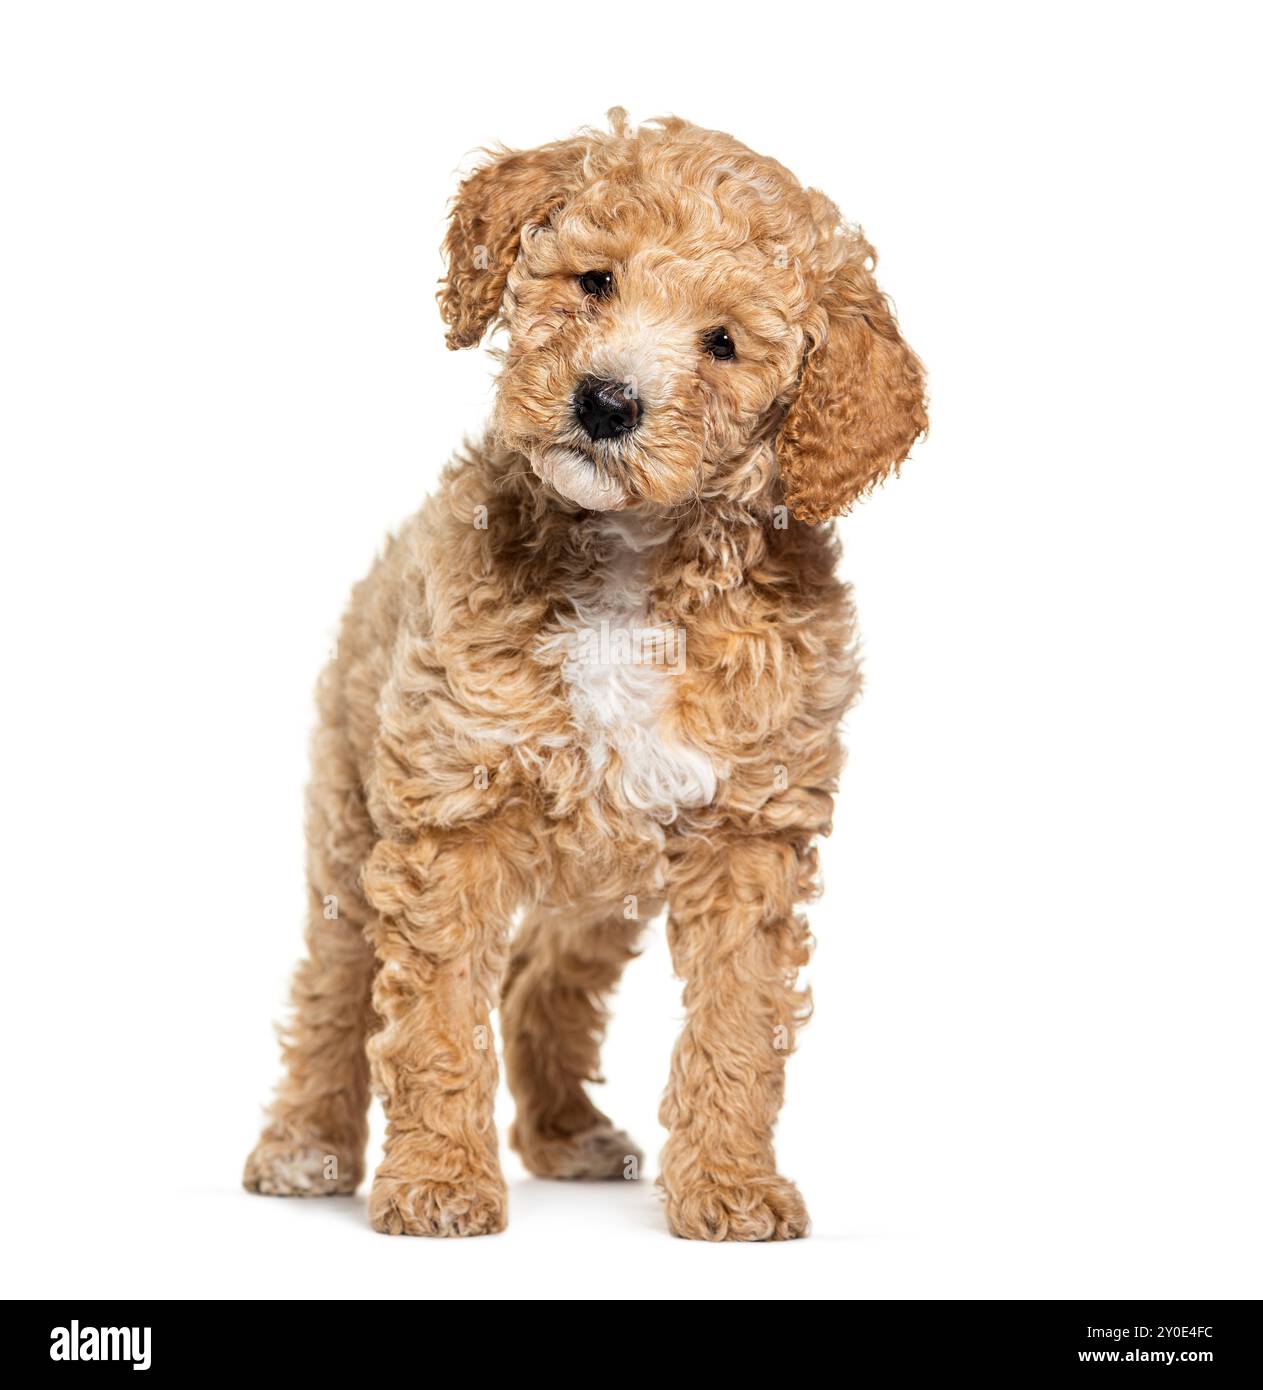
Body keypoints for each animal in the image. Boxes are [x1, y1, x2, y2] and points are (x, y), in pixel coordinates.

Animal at [241, 108, 928, 1239]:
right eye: (595, 280)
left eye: (723, 343)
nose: (606, 401)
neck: (630, 559)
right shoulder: (454, 808)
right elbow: (433, 1019)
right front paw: (438, 1181)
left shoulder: (747, 831)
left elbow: (738, 1021)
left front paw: (730, 1184)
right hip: (351, 818)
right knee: (336, 983)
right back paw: (304, 1142)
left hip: (600, 888)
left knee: (542, 978)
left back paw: (567, 1133)